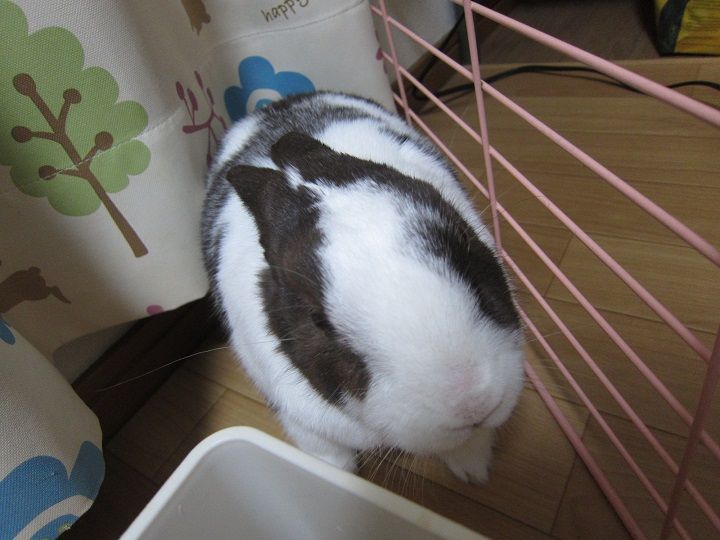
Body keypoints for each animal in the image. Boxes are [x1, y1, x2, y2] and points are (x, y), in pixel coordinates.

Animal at [201, 91, 524, 483]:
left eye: (464, 242)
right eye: (317, 320)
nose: (474, 404)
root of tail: (273, 107)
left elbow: (469, 446)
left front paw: (474, 471)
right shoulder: (301, 419)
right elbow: (329, 456)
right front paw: (337, 478)